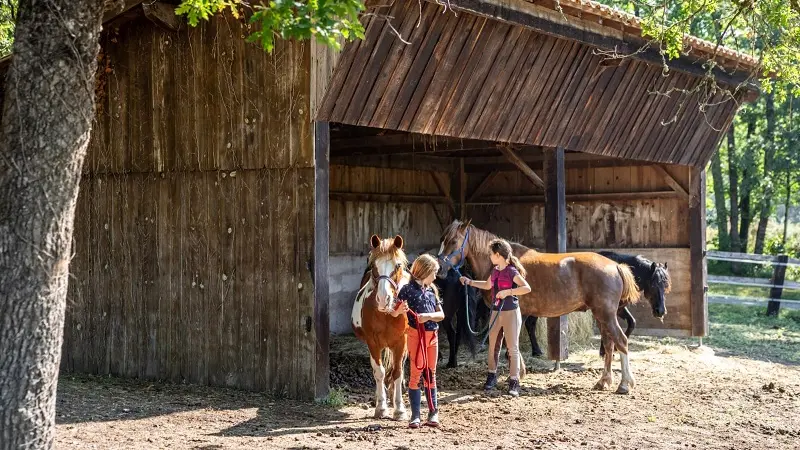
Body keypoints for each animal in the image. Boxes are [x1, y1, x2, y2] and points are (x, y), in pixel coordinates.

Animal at [352, 234, 410, 420]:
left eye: (397, 265)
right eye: (373, 266)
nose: (384, 299)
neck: (387, 314)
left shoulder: (401, 342)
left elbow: (398, 372)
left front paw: (399, 409)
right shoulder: (373, 343)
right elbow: (379, 372)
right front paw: (381, 407)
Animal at [434, 221, 640, 394]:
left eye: (453, 241)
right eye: (442, 240)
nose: (439, 268)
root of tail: (616, 266)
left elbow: (510, 343)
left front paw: (517, 375)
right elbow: (509, 343)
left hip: (606, 314)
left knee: (621, 341)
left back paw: (624, 384)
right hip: (602, 315)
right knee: (609, 344)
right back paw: (604, 381)